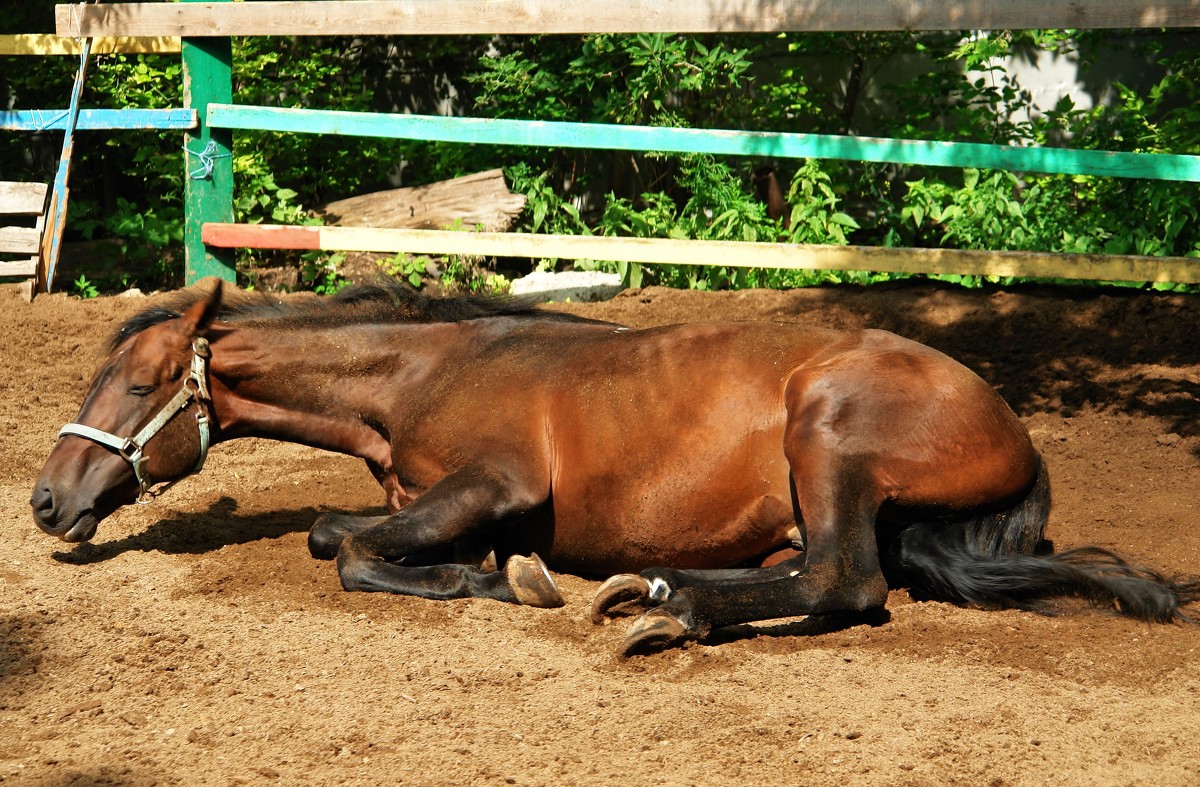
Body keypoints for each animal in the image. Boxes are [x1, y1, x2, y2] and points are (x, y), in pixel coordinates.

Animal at [30, 283, 1200, 657]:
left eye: (141, 381)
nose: (45, 499)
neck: (419, 374)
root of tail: (1012, 424)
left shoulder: (497, 484)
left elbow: (346, 546)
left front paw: (500, 578)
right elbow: (341, 530)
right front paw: (493, 571)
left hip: (826, 430)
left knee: (845, 579)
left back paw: (665, 607)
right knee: (817, 567)